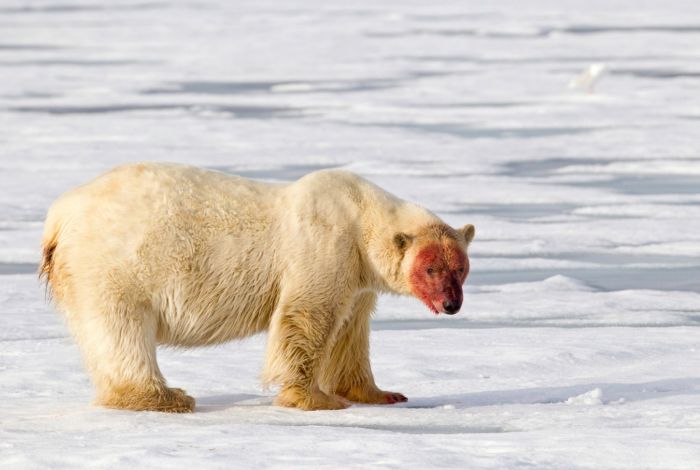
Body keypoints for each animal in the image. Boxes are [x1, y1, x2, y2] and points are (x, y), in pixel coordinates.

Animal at [40, 163, 475, 412]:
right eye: (431, 268)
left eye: (461, 268)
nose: (452, 304)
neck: (360, 217)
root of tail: (59, 216)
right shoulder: (325, 244)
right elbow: (306, 316)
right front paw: (313, 398)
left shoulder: (357, 277)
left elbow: (351, 334)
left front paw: (380, 393)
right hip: (118, 263)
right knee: (123, 329)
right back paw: (164, 397)